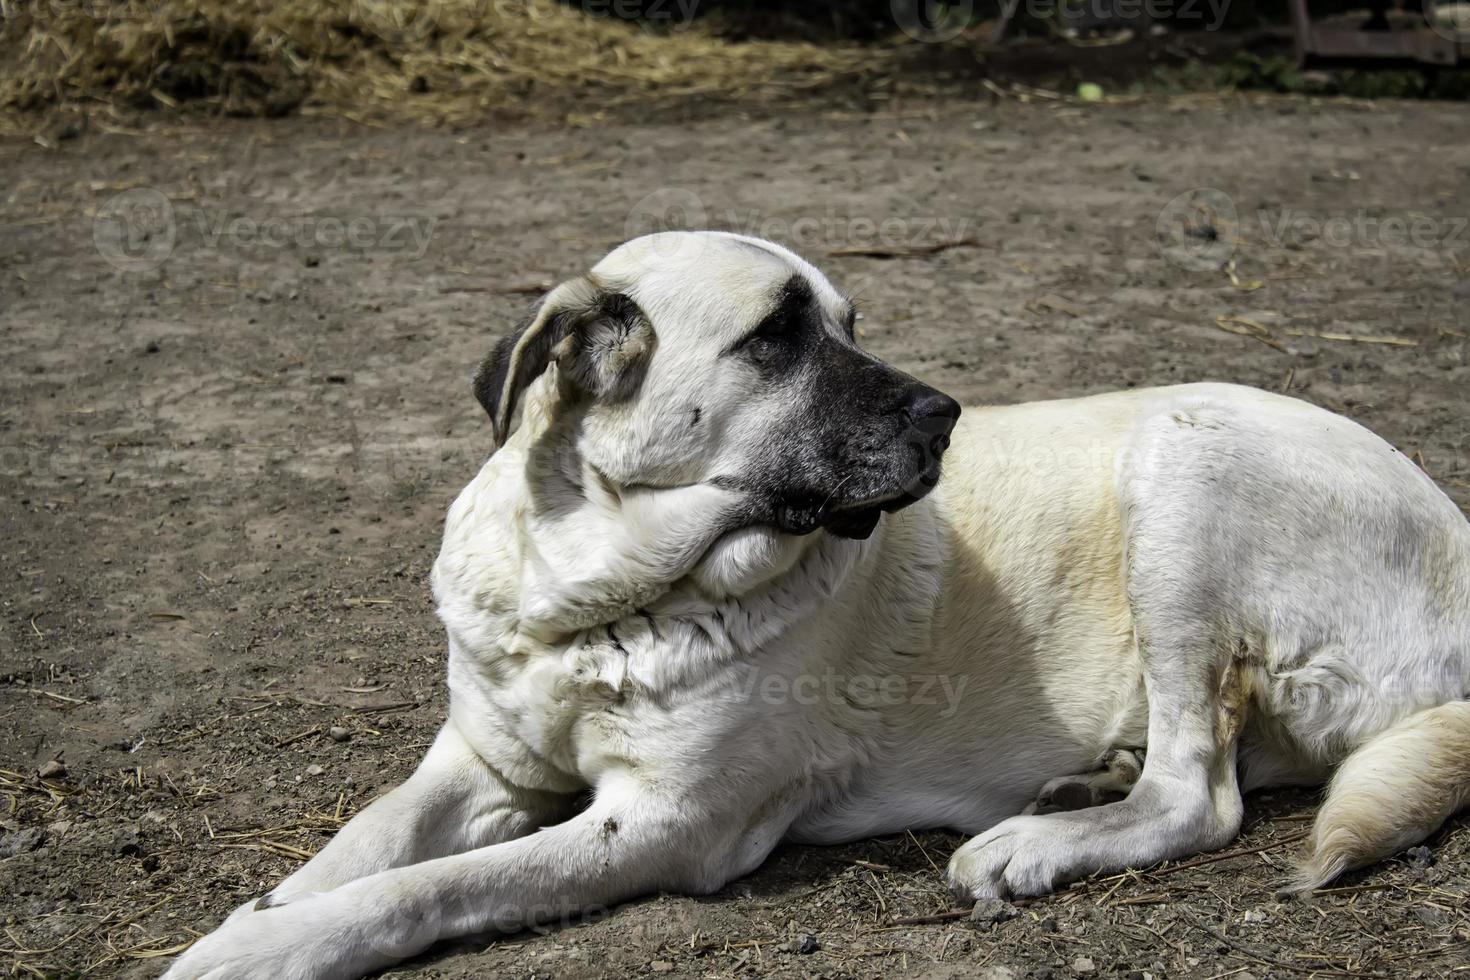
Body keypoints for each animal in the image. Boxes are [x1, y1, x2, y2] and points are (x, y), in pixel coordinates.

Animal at [171, 232, 1470, 980]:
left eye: (849, 325)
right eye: (778, 337)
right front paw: (263, 909)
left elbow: (430, 883)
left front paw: (274, 942)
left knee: (1201, 794)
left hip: (1182, 458)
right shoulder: (480, 763)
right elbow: (367, 841)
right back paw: (1083, 779)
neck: (597, 591)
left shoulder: (663, 823)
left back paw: (1034, 842)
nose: (946, 414)